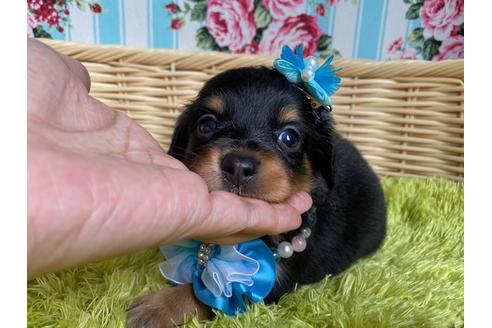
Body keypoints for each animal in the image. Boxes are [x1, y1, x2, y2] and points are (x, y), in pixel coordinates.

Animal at [128, 66, 388, 326]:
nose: (238, 166)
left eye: (290, 137)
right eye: (207, 125)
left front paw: (155, 308)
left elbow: (205, 292)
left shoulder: (270, 280)